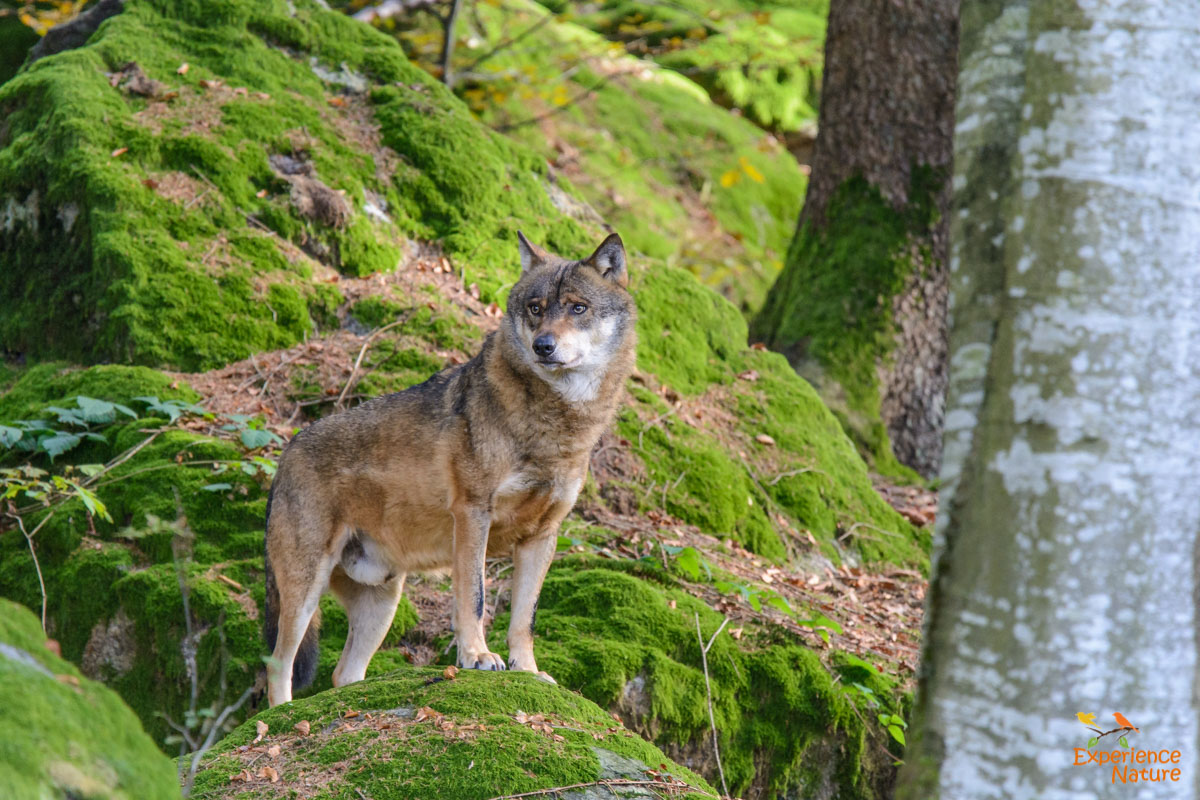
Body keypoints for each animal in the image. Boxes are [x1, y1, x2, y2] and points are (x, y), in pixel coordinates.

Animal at [263, 232, 636, 706]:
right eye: (535, 308)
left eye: (578, 308)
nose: (543, 346)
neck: (555, 426)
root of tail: (284, 454)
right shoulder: (473, 513)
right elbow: (473, 599)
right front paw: (477, 657)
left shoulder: (542, 536)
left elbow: (525, 619)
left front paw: (528, 672)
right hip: (305, 594)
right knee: (279, 666)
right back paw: (279, 716)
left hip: (382, 603)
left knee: (344, 675)